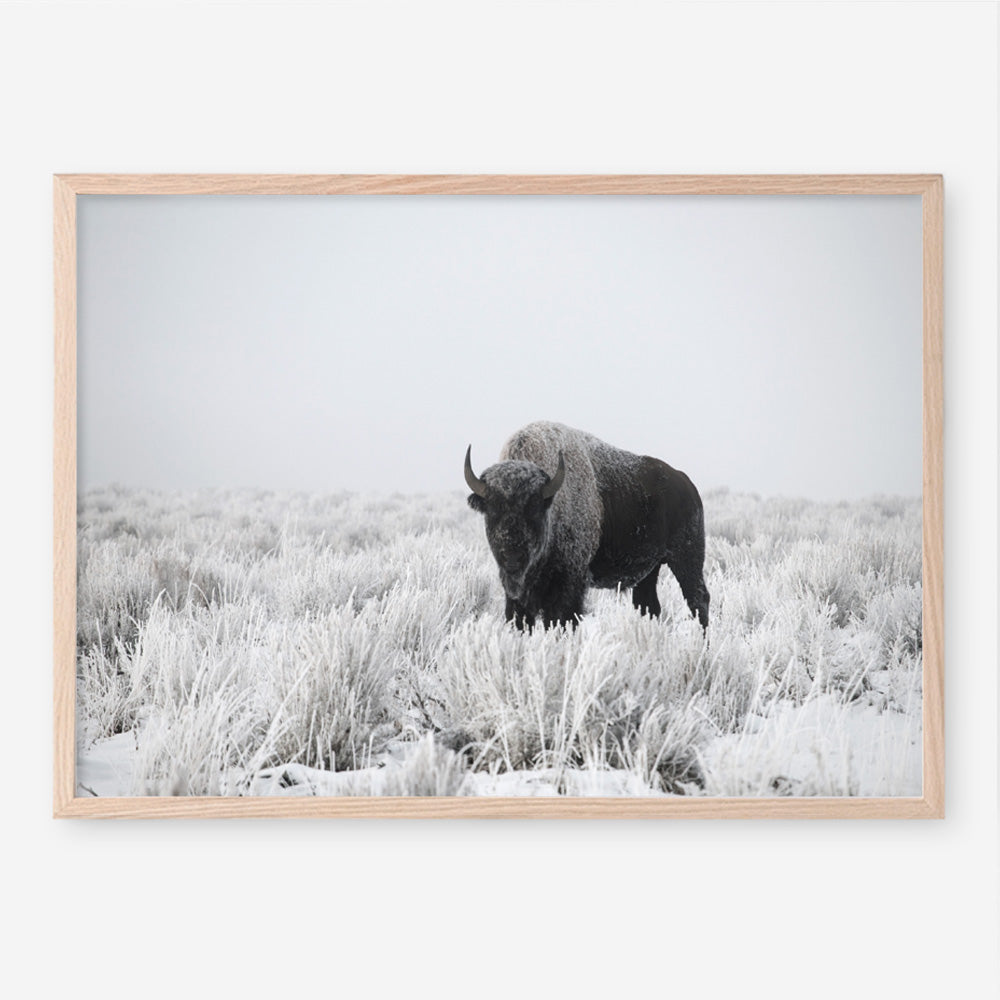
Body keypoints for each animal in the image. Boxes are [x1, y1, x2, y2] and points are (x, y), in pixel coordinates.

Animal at [465, 421, 709, 631]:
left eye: (533, 508)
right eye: (492, 509)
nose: (512, 556)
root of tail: (687, 485)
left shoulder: (570, 583)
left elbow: (563, 619)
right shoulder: (517, 594)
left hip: (686, 558)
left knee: (698, 600)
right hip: (651, 569)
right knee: (649, 606)